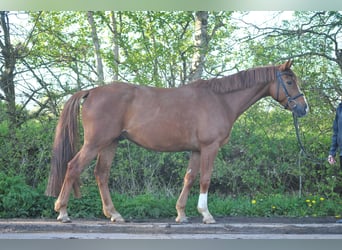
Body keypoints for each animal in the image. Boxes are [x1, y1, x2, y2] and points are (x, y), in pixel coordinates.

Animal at [44, 60, 308, 223]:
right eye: (290, 81)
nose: (304, 108)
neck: (220, 99)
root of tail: (92, 91)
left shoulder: (197, 150)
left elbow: (189, 178)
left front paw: (181, 214)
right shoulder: (210, 148)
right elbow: (205, 178)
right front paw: (206, 214)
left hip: (110, 143)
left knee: (101, 174)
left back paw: (114, 214)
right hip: (95, 143)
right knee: (73, 167)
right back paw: (63, 211)